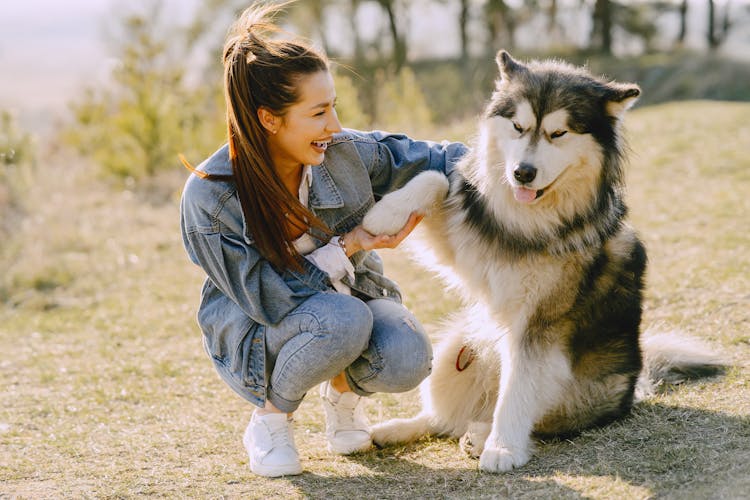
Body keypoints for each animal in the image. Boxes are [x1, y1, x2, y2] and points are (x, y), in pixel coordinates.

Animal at [364, 50, 728, 472]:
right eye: (518, 127)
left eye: (559, 134)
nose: (522, 173)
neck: (529, 222)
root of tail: (638, 383)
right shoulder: (464, 246)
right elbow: (437, 179)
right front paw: (385, 214)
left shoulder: (539, 324)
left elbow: (517, 392)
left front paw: (502, 449)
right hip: (454, 352)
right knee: (442, 420)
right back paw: (393, 430)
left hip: (568, 390)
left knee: (522, 419)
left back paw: (481, 436)